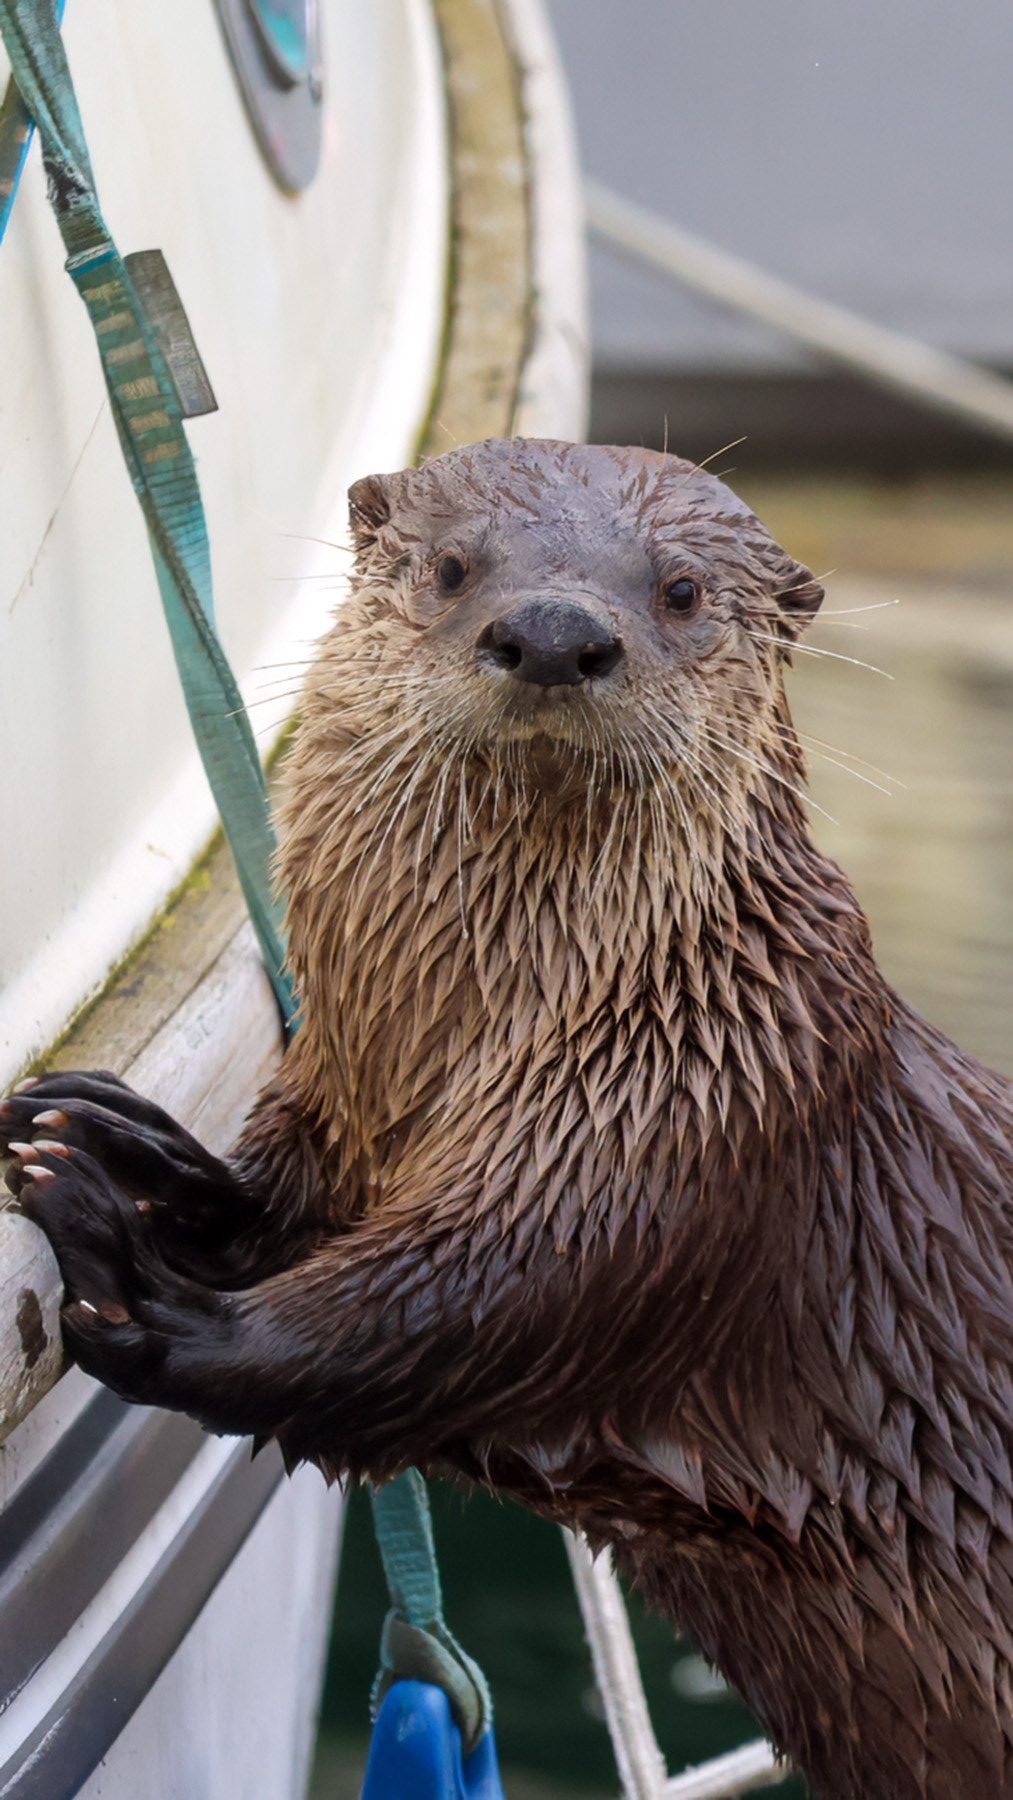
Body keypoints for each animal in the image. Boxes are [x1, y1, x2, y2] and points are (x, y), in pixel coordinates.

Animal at [3, 439, 1012, 1800]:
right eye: (449, 565)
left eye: (681, 589)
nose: (551, 632)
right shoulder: (358, 1099)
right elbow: (298, 1204)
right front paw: (128, 1149)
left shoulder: (679, 1139)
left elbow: (450, 1312)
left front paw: (139, 1286)